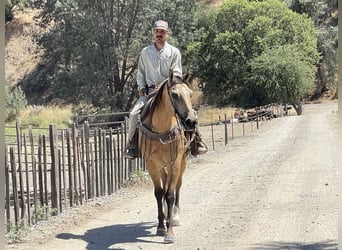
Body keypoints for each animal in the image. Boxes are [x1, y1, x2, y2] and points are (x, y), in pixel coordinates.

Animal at [138, 71, 196, 243]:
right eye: (174, 95)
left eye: (190, 94)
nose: (191, 121)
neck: (161, 128)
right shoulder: (152, 165)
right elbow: (159, 193)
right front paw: (160, 226)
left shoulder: (174, 163)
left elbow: (170, 194)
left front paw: (169, 231)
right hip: (162, 166)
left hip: (181, 163)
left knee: (177, 186)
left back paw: (175, 216)